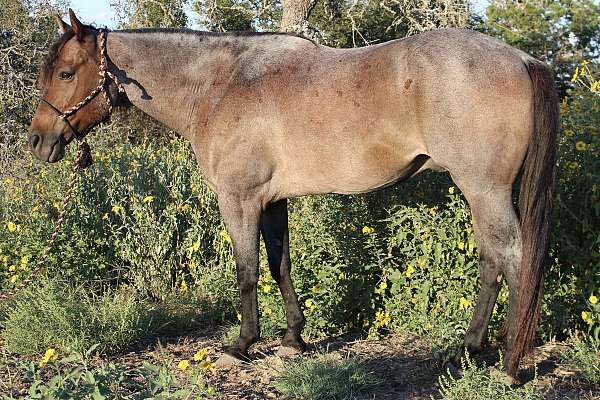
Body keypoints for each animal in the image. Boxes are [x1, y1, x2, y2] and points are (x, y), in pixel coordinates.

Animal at [29, 9, 556, 378]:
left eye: (66, 73)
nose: (38, 140)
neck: (220, 86)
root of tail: (522, 59)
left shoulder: (239, 200)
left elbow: (247, 270)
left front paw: (241, 345)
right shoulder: (272, 201)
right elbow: (280, 263)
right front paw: (293, 339)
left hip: (484, 189)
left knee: (512, 259)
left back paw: (510, 363)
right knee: (492, 260)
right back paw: (468, 350)